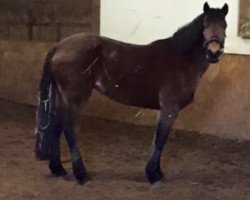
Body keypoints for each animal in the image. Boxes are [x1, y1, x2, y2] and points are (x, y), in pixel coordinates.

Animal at [35, 2, 229, 184]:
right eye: (205, 26)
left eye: (225, 26)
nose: (213, 52)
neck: (181, 59)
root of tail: (59, 46)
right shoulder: (170, 108)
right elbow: (160, 140)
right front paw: (153, 175)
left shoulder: (163, 110)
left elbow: (156, 141)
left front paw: (156, 171)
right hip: (75, 98)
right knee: (70, 130)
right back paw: (81, 174)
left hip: (61, 97)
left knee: (55, 127)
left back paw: (58, 169)